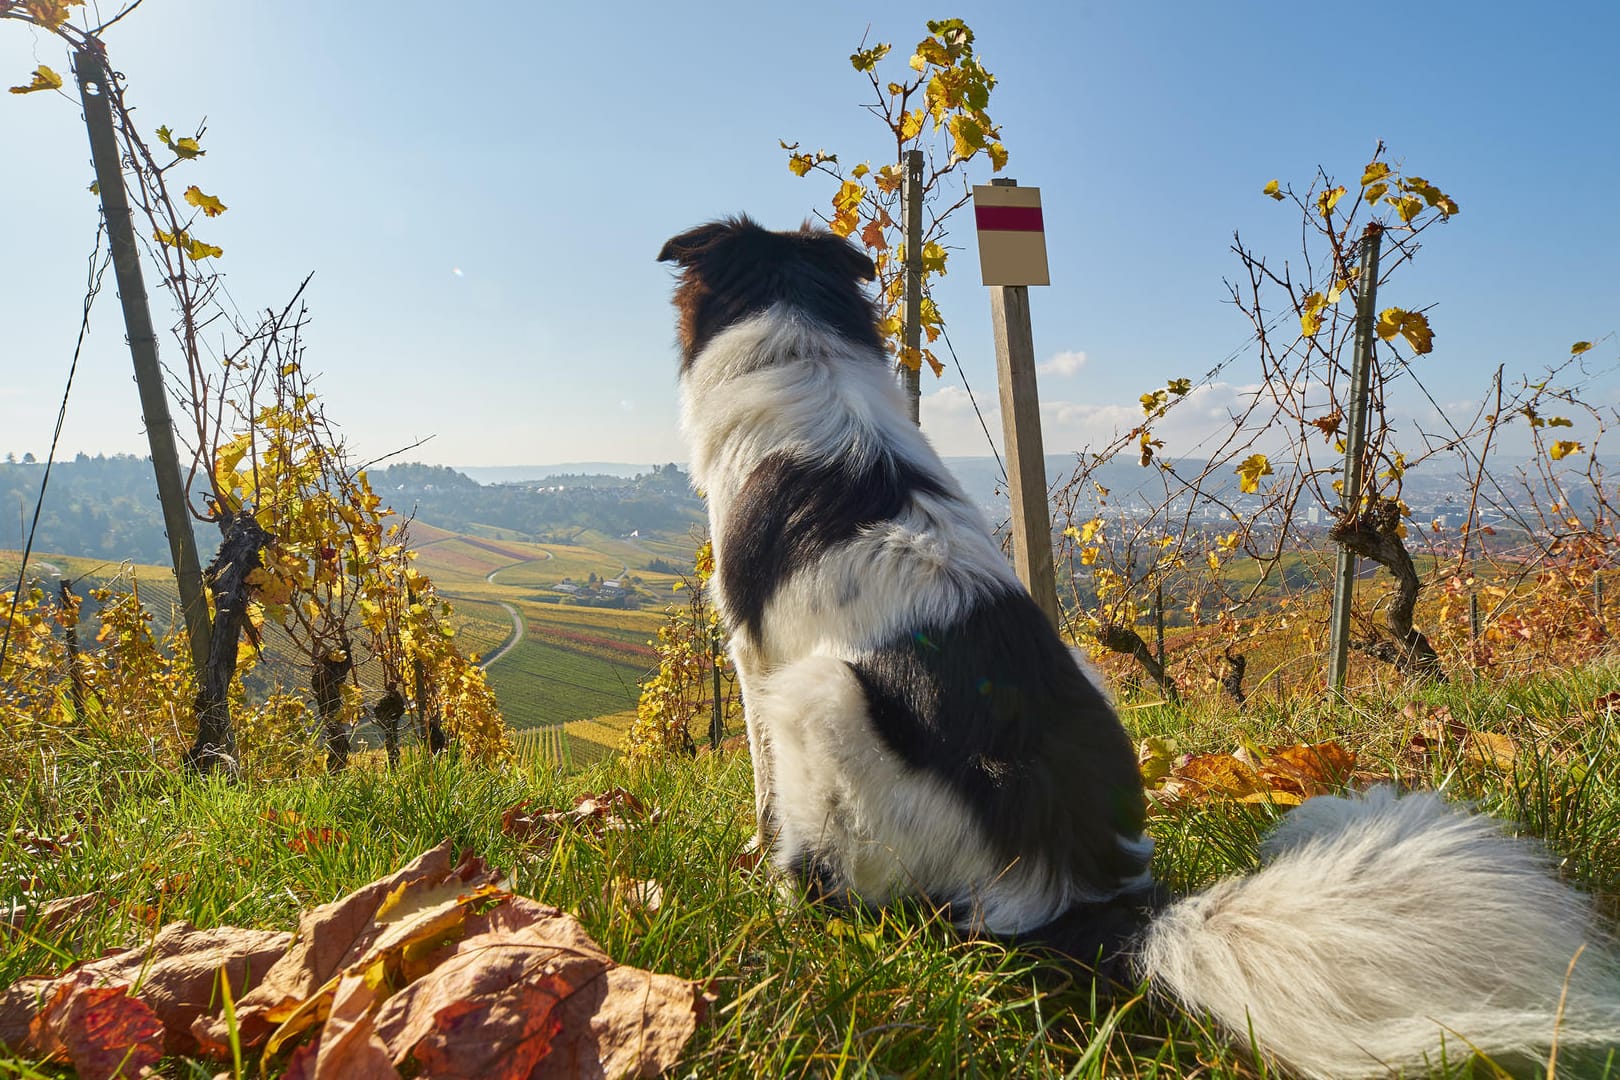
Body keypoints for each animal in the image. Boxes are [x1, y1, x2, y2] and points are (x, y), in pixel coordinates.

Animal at [657, 215, 1620, 1075]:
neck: (804, 350)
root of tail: (1086, 895)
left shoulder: (750, 657)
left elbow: (758, 789)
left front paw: (752, 864)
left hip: (822, 696)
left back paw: (797, 912)